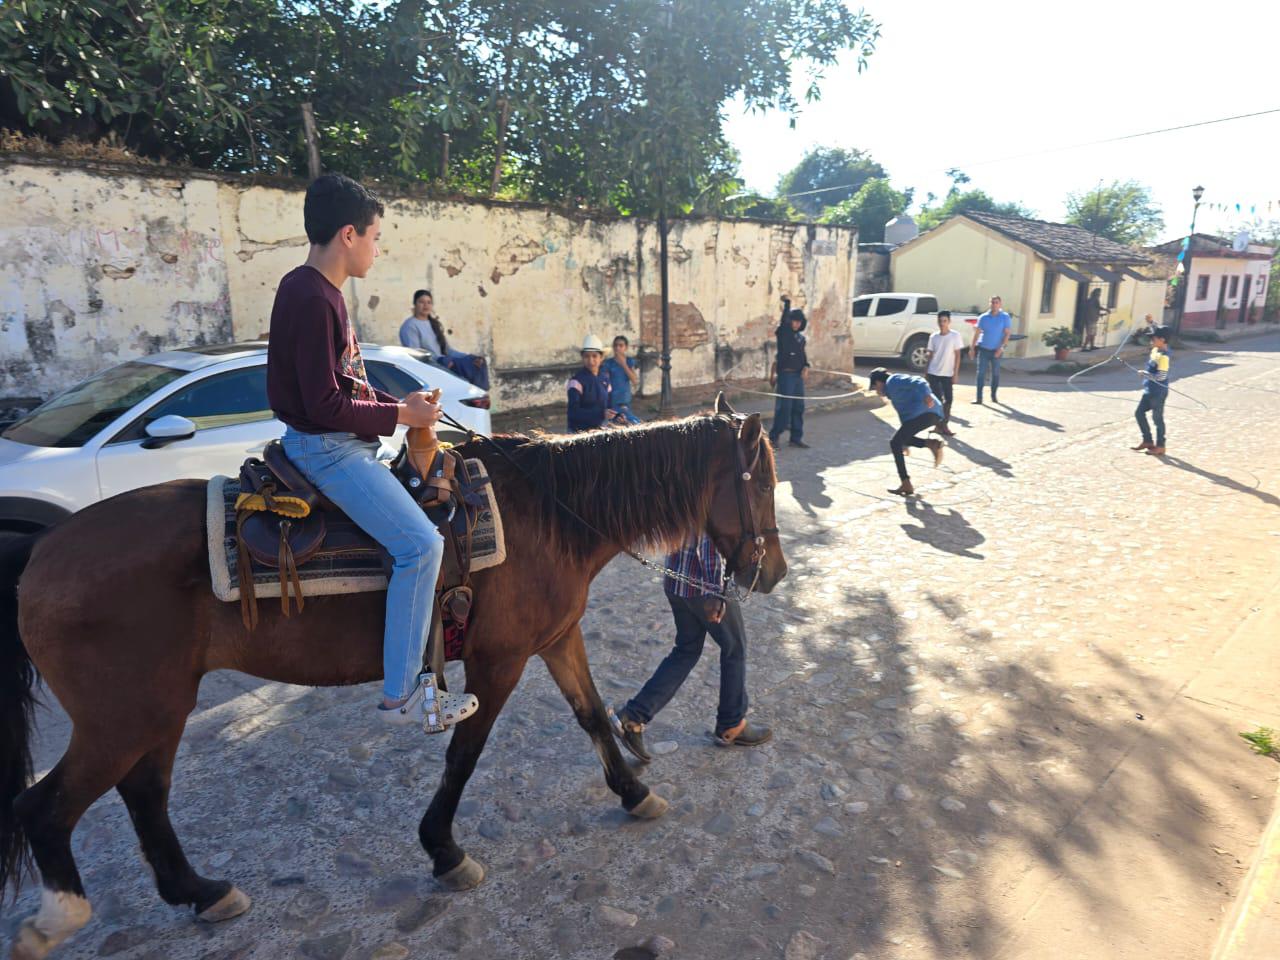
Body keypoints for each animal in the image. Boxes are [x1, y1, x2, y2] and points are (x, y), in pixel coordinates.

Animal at [0, 396, 785, 960]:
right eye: (766, 485)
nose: (774, 572)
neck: (550, 515)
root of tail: (44, 550)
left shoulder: (557, 638)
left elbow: (591, 713)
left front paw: (634, 792)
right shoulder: (498, 661)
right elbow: (464, 753)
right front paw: (444, 850)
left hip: (160, 708)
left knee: (145, 794)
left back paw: (202, 891)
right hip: (125, 716)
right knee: (46, 807)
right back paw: (61, 916)